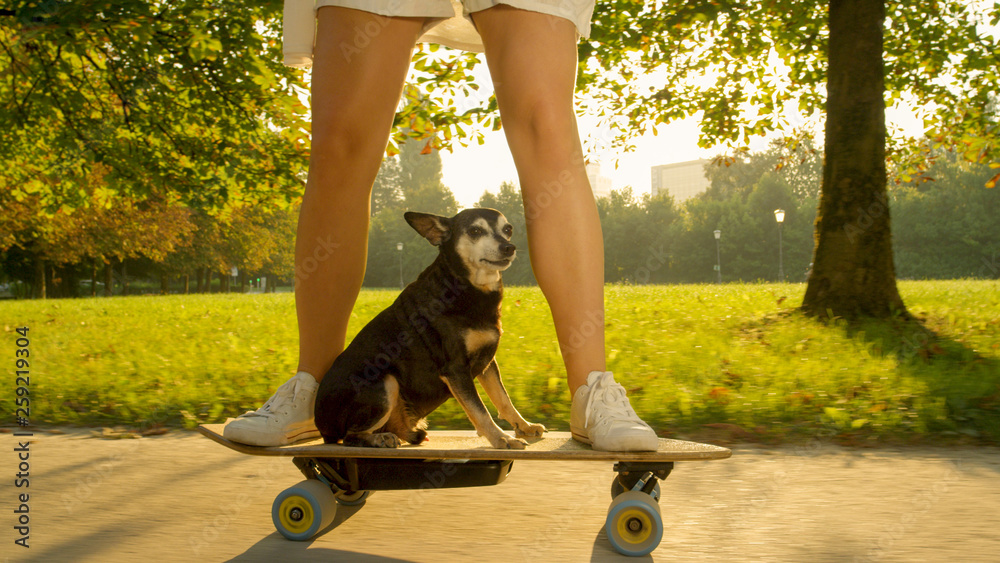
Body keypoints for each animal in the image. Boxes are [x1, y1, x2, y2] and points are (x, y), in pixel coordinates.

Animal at [314, 207, 544, 450]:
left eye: (508, 229)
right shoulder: (456, 369)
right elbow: (479, 410)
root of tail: (322, 426)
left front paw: (524, 426)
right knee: (350, 436)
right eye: (475, 231)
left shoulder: (488, 362)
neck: (465, 286)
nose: (508, 247)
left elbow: (503, 399)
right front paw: (501, 438)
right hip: (385, 382)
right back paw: (379, 439)